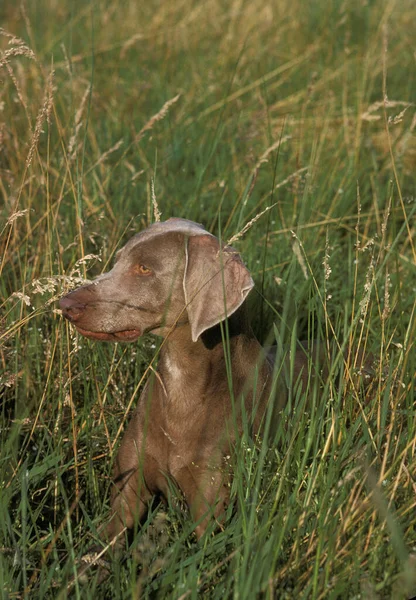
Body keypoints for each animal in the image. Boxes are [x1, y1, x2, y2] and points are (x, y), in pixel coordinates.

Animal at [60, 219, 318, 544]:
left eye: (144, 268)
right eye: (117, 260)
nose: (64, 304)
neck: (181, 384)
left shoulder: (211, 510)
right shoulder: (127, 492)